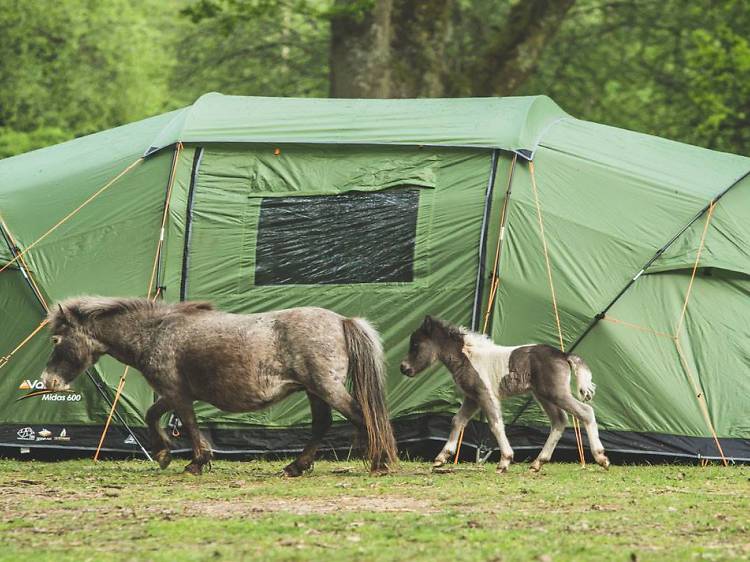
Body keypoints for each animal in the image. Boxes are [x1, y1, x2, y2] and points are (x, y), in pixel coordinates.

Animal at [41, 296, 400, 474]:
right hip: (316, 391)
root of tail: (341, 320)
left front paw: (196, 462)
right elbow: (153, 415)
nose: (48, 381)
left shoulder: (176, 393)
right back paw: (296, 467)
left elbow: (185, 423)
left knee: (363, 416)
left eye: (57, 340)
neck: (157, 332)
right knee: (323, 424)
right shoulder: (173, 394)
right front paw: (164, 453)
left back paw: (379, 461)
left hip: (326, 388)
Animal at [402, 318, 608, 470]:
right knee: (559, 421)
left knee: (586, 412)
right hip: (543, 395)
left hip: (556, 393)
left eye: (416, 344)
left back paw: (601, 458)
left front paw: (505, 461)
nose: (403, 368)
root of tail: (563, 355)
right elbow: (457, 421)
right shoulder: (472, 398)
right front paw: (441, 457)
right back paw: (537, 463)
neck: (468, 357)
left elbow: (495, 424)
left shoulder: (485, 395)